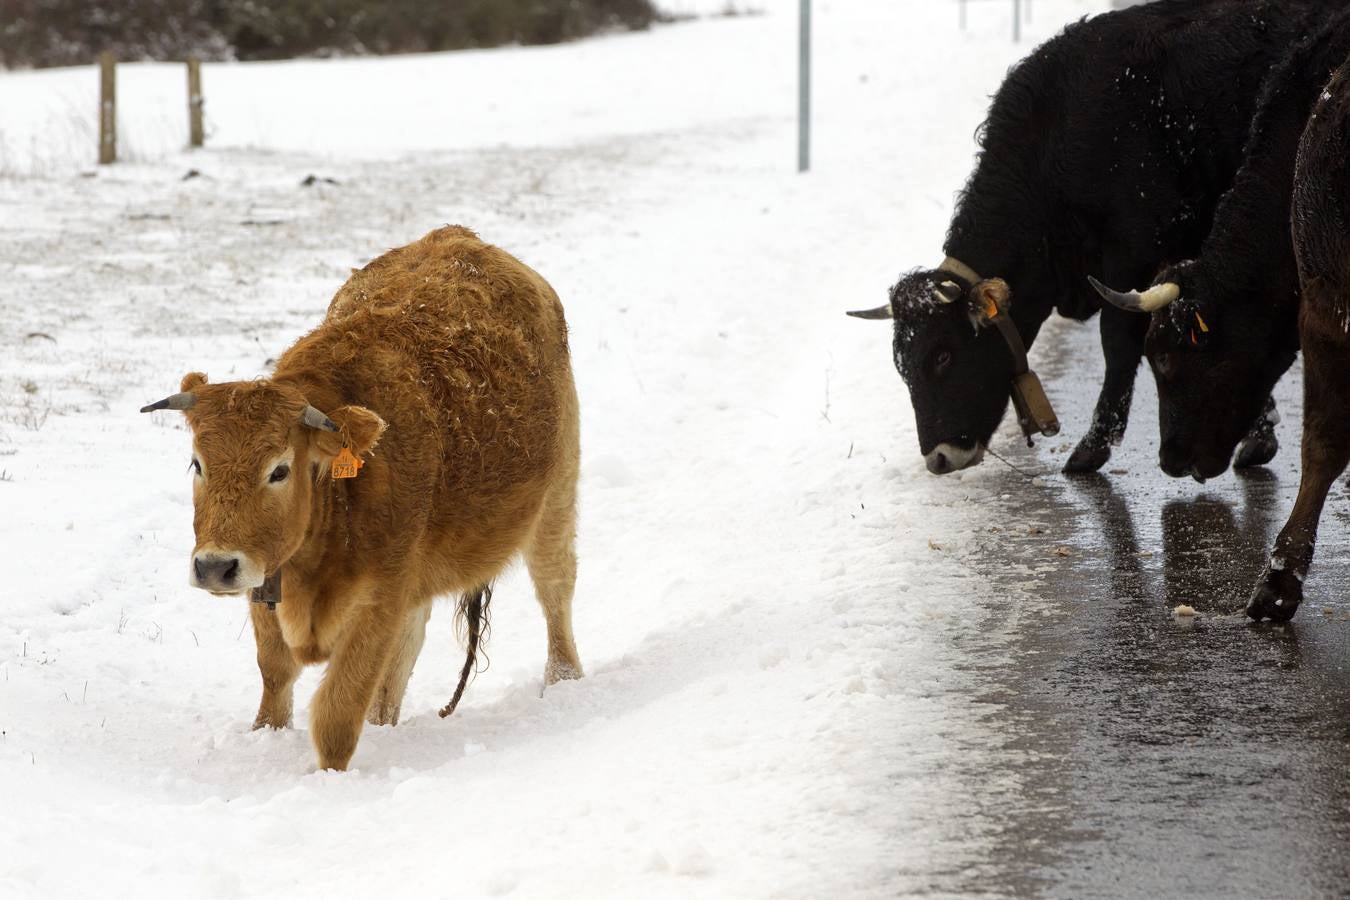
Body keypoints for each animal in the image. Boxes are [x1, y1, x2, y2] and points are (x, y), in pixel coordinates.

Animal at [141, 225, 580, 766]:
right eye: (197, 464)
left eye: (280, 470)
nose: (214, 567)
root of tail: (459, 237)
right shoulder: (269, 579)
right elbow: (276, 676)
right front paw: (266, 736)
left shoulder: (377, 604)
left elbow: (337, 712)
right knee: (407, 650)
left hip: (557, 498)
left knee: (555, 590)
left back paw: (564, 682)